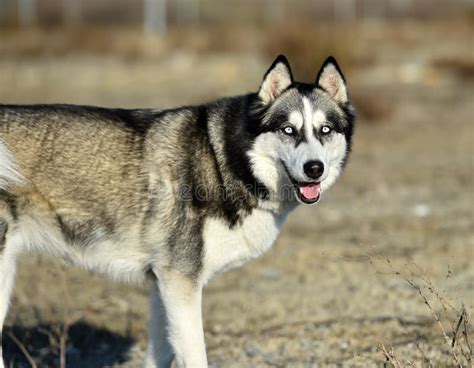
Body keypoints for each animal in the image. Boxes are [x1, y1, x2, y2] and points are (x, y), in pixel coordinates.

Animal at [0, 55, 356, 368]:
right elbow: (195, 356)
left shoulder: (162, 286)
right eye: (288, 130)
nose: (314, 168)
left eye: (325, 130)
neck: (223, 160)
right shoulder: (180, 282)